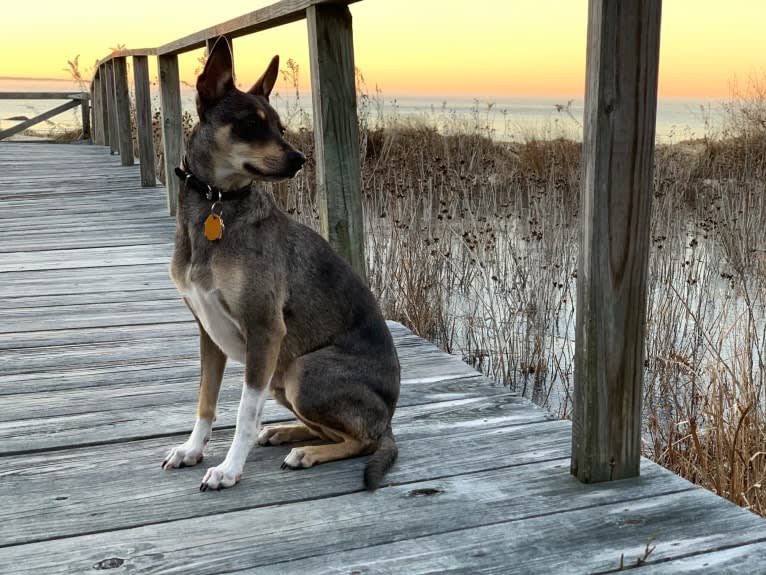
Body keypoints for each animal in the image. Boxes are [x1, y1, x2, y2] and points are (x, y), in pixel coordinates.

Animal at [162, 38, 402, 492]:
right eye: (249, 126)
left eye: (280, 129)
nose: (298, 159)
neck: (217, 205)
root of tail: (391, 418)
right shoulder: (207, 332)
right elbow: (206, 400)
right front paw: (192, 449)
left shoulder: (264, 329)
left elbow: (243, 412)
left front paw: (228, 469)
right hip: (283, 378)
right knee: (334, 430)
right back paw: (286, 433)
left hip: (301, 371)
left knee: (362, 439)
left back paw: (307, 452)